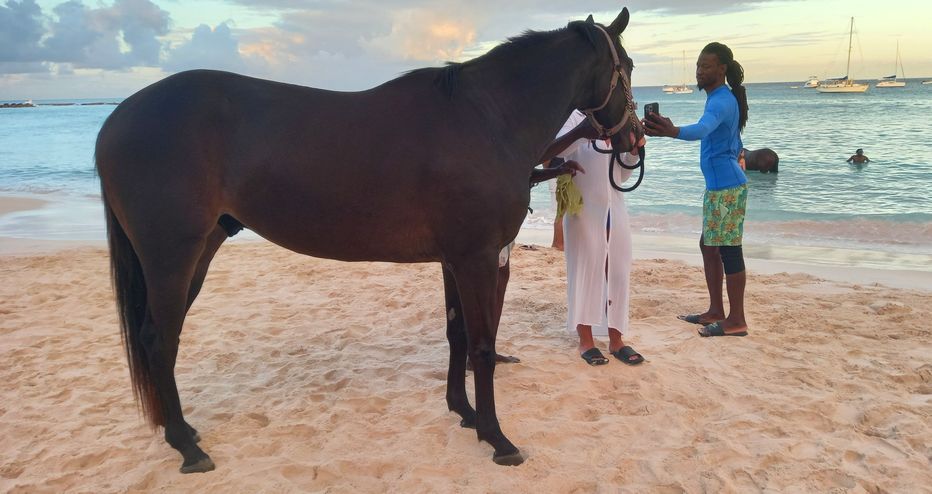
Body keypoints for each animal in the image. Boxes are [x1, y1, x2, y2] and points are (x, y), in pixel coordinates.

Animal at [98, 6, 644, 470]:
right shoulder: (478, 258)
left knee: (158, 339)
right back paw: (187, 447)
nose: (634, 139)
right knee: (159, 339)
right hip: (172, 257)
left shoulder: (453, 260)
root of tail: (115, 120)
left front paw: (463, 412)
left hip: (200, 250)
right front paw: (496, 437)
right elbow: (483, 346)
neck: (487, 119)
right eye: (631, 66)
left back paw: (184, 433)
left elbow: (457, 336)